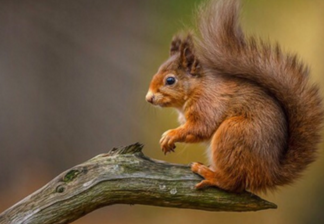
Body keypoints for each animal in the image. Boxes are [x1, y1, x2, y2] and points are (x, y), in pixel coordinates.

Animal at [146, 0, 322, 192]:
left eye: (170, 80)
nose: (149, 98)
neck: (198, 88)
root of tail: (268, 173)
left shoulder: (208, 105)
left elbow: (201, 127)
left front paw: (170, 135)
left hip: (233, 134)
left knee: (232, 182)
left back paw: (210, 175)